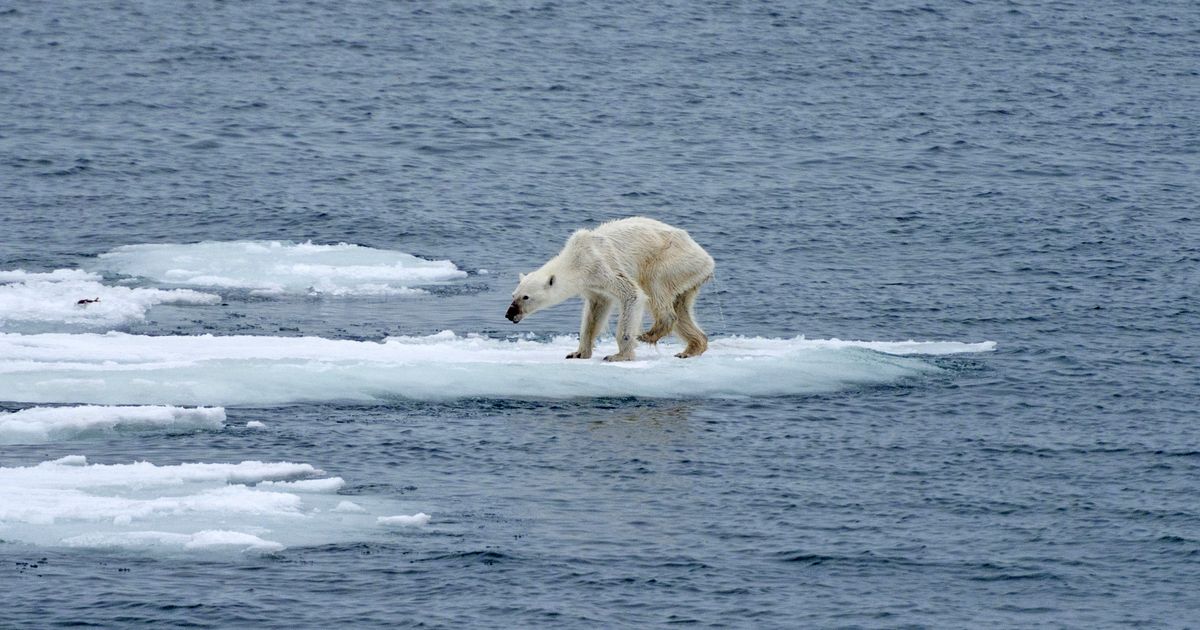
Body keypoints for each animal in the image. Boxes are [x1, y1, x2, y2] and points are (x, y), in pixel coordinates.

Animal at [504, 216, 710, 360]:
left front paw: (619, 355)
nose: (509, 314)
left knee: (655, 286)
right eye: (513, 295)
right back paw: (691, 348)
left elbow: (632, 294)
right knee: (681, 307)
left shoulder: (602, 265)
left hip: (672, 260)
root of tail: (707, 258)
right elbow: (595, 311)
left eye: (526, 297)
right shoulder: (592, 285)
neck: (576, 258)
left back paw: (649, 334)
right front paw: (578, 353)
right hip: (688, 275)